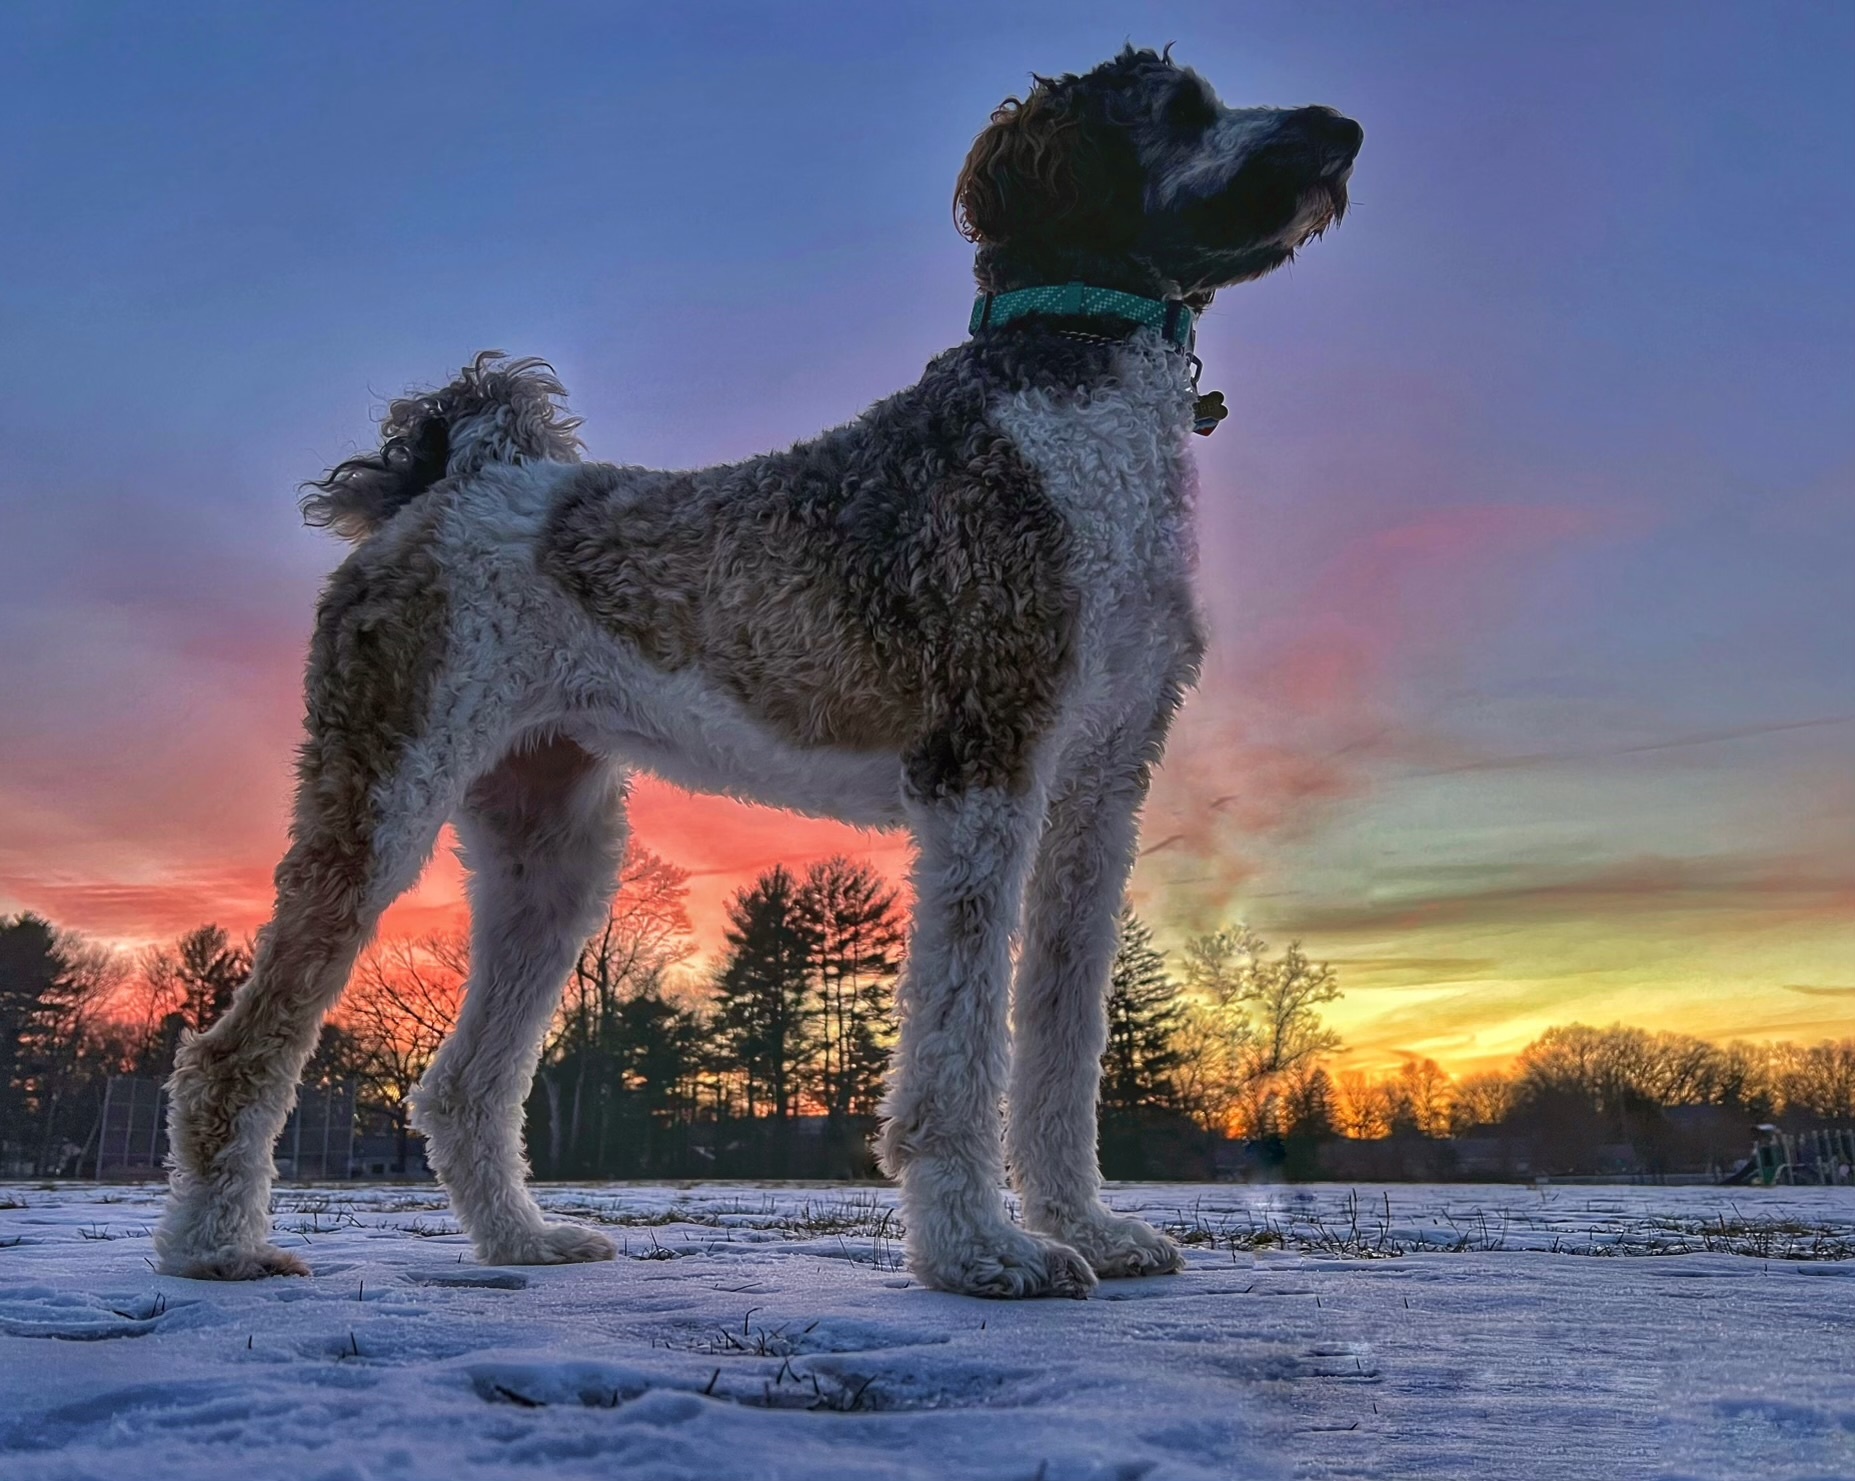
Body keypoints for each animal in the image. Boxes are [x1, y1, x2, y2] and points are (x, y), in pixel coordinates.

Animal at [159, 46, 1365, 1299]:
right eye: (1180, 111)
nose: (1344, 132)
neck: (1069, 416)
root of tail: (443, 486)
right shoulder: (983, 770)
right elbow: (959, 1041)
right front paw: (979, 1248)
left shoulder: (1096, 796)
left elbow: (1065, 1038)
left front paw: (1087, 1224)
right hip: (379, 798)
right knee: (230, 1049)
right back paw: (215, 1245)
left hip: (554, 853)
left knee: (461, 1083)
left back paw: (522, 1239)